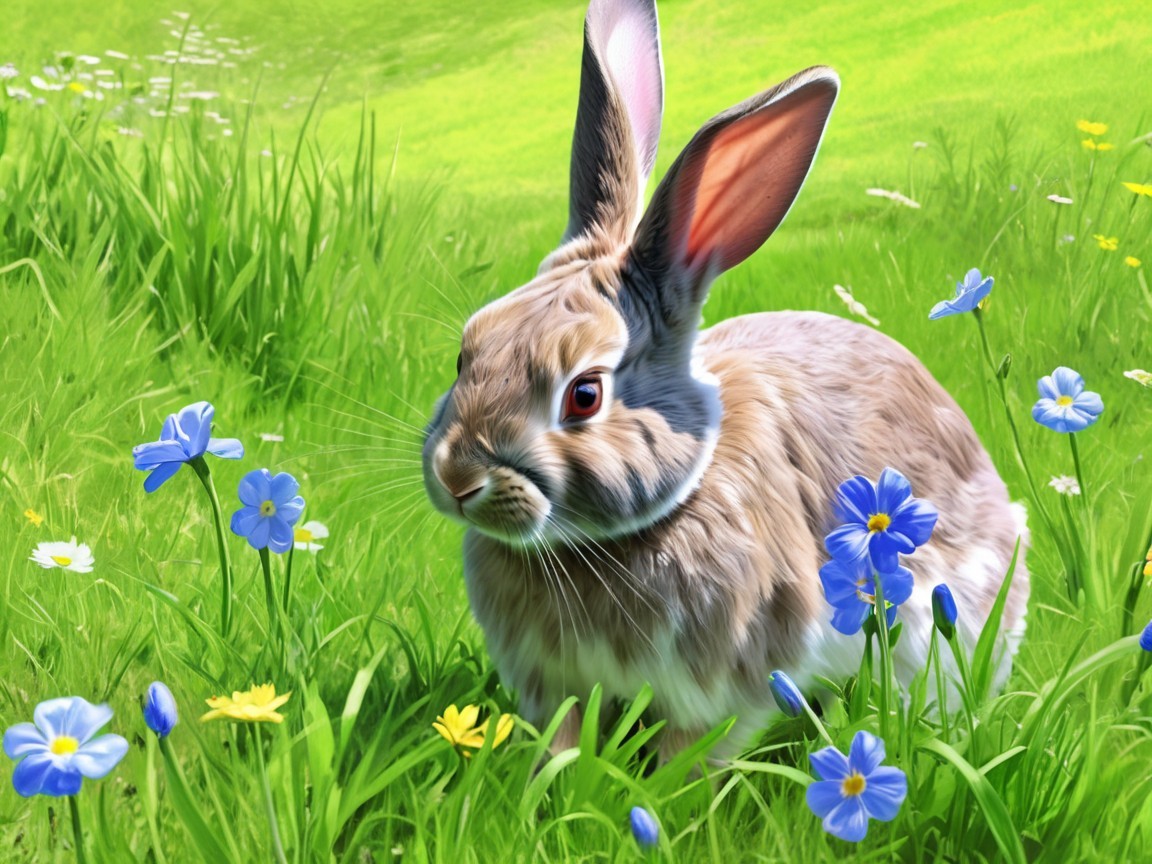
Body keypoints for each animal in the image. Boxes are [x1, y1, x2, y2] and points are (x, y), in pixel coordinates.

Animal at [422, 0, 1029, 757]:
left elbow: (690, 755)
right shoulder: (554, 687)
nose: (456, 479)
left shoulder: (721, 690)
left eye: (584, 395)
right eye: (466, 353)